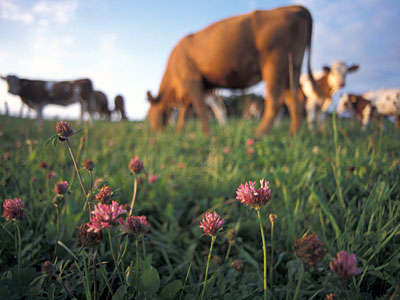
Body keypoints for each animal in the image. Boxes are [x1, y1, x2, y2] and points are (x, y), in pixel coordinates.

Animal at [145, 5, 318, 136]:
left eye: (151, 114)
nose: (154, 131)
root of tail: (296, 8)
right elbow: (184, 113)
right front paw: (179, 132)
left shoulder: (191, 79)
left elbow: (199, 109)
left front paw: (206, 134)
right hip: (292, 68)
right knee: (295, 98)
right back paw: (294, 134)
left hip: (275, 64)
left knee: (275, 101)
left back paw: (259, 134)